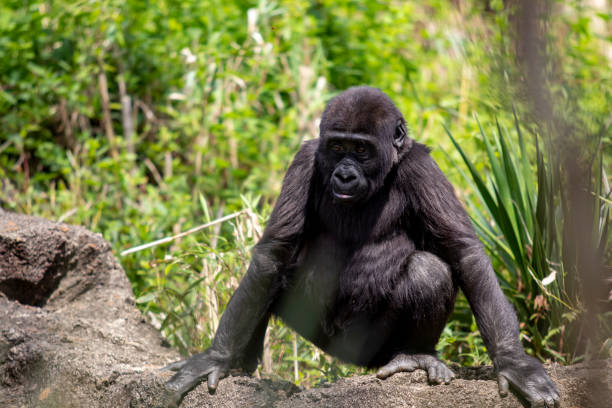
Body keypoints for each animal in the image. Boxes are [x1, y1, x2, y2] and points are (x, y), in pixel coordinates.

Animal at [165, 87, 560, 408]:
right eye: (338, 146)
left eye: (361, 149)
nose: (344, 174)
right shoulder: (305, 159)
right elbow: (273, 256)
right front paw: (217, 356)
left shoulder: (421, 167)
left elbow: (463, 252)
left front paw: (513, 362)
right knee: (273, 275)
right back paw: (241, 365)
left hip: (373, 352)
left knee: (428, 271)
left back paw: (413, 356)